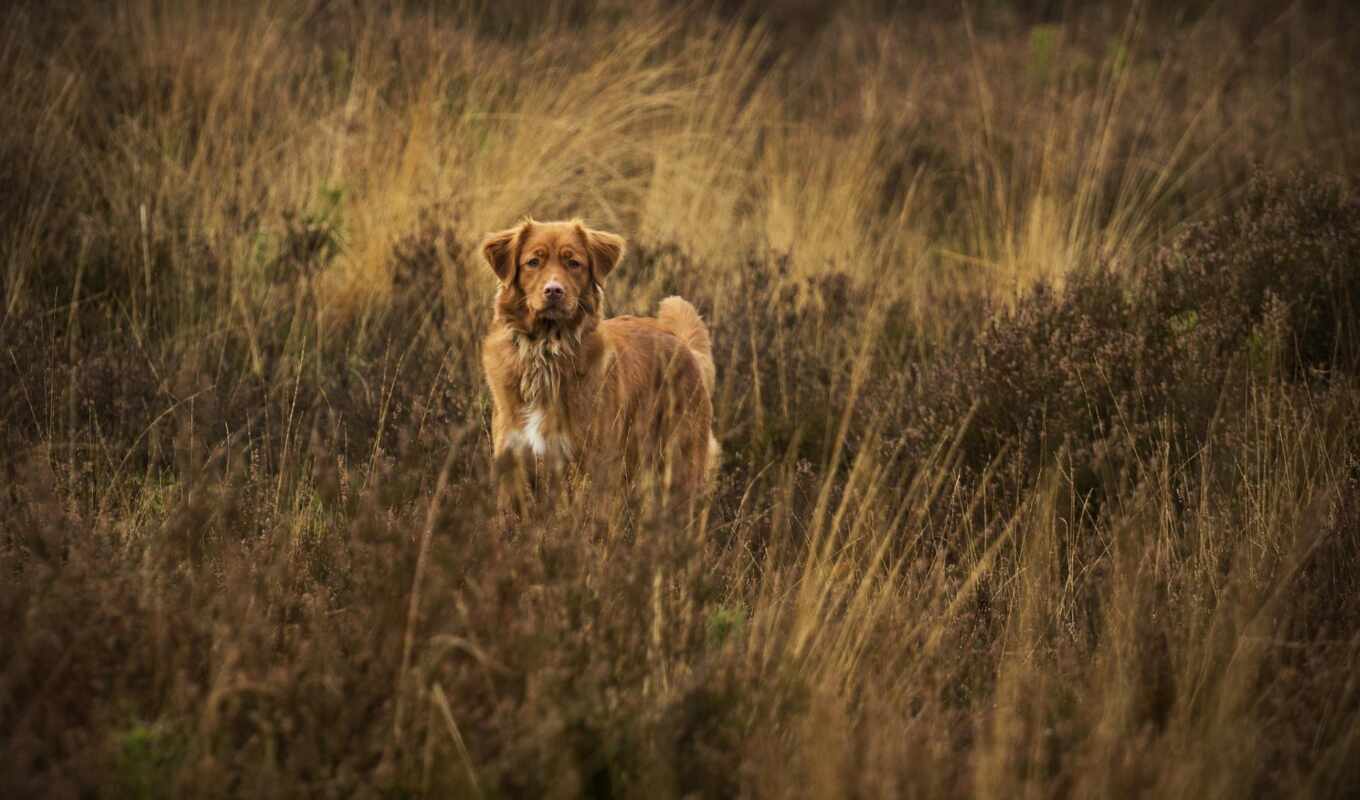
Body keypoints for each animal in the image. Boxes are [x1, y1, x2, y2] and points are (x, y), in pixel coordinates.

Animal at [478, 214, 718, 514]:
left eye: (574, 263)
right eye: (533, 262)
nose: (554, 291)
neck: (546, 350)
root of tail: (680, 342)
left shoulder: (594, 463)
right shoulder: (512, 462)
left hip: (682, 462)